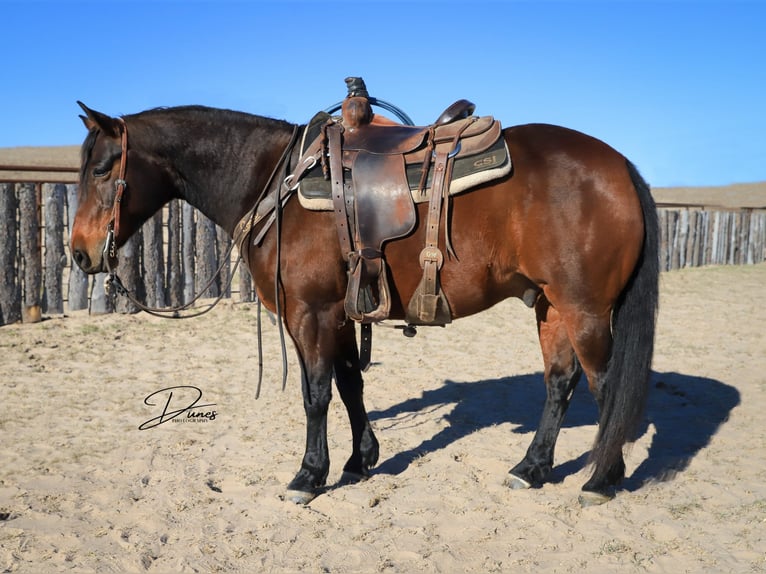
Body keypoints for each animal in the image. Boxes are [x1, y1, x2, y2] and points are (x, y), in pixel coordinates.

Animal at [71, 97, 659, 507]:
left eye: (101, 169)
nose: (79, 253)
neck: (275, 183)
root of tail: (620, 165)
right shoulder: (340, 311)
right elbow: (350, 383)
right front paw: (361, 459)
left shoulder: (310, 312)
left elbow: (315, 394)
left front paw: (309, 475)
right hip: (551, 306)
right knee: (560, 383)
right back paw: (531, 468)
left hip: (583, 308)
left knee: (606, 389)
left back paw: (602, 478)